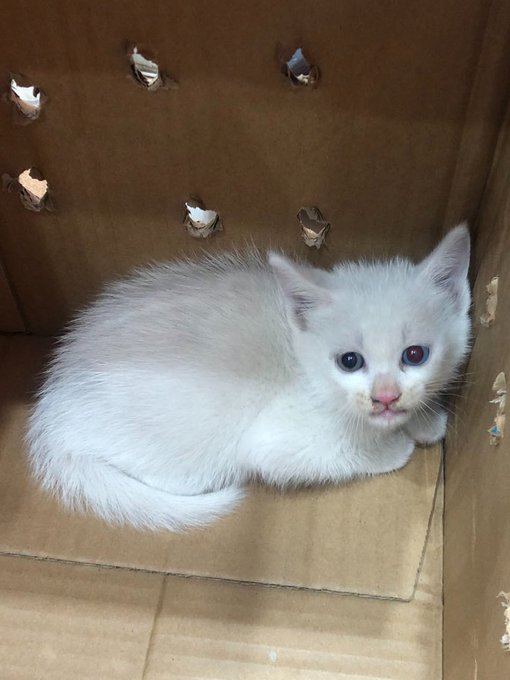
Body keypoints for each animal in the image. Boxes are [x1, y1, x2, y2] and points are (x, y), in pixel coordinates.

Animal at [26, 224, 471, 532]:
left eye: (415, 354)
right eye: (349, 361)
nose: (386, 396)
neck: (300, 356)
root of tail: (52, 417)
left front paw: (424, 420)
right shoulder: (277, 438)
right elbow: (333, 452)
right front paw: (394, 447)